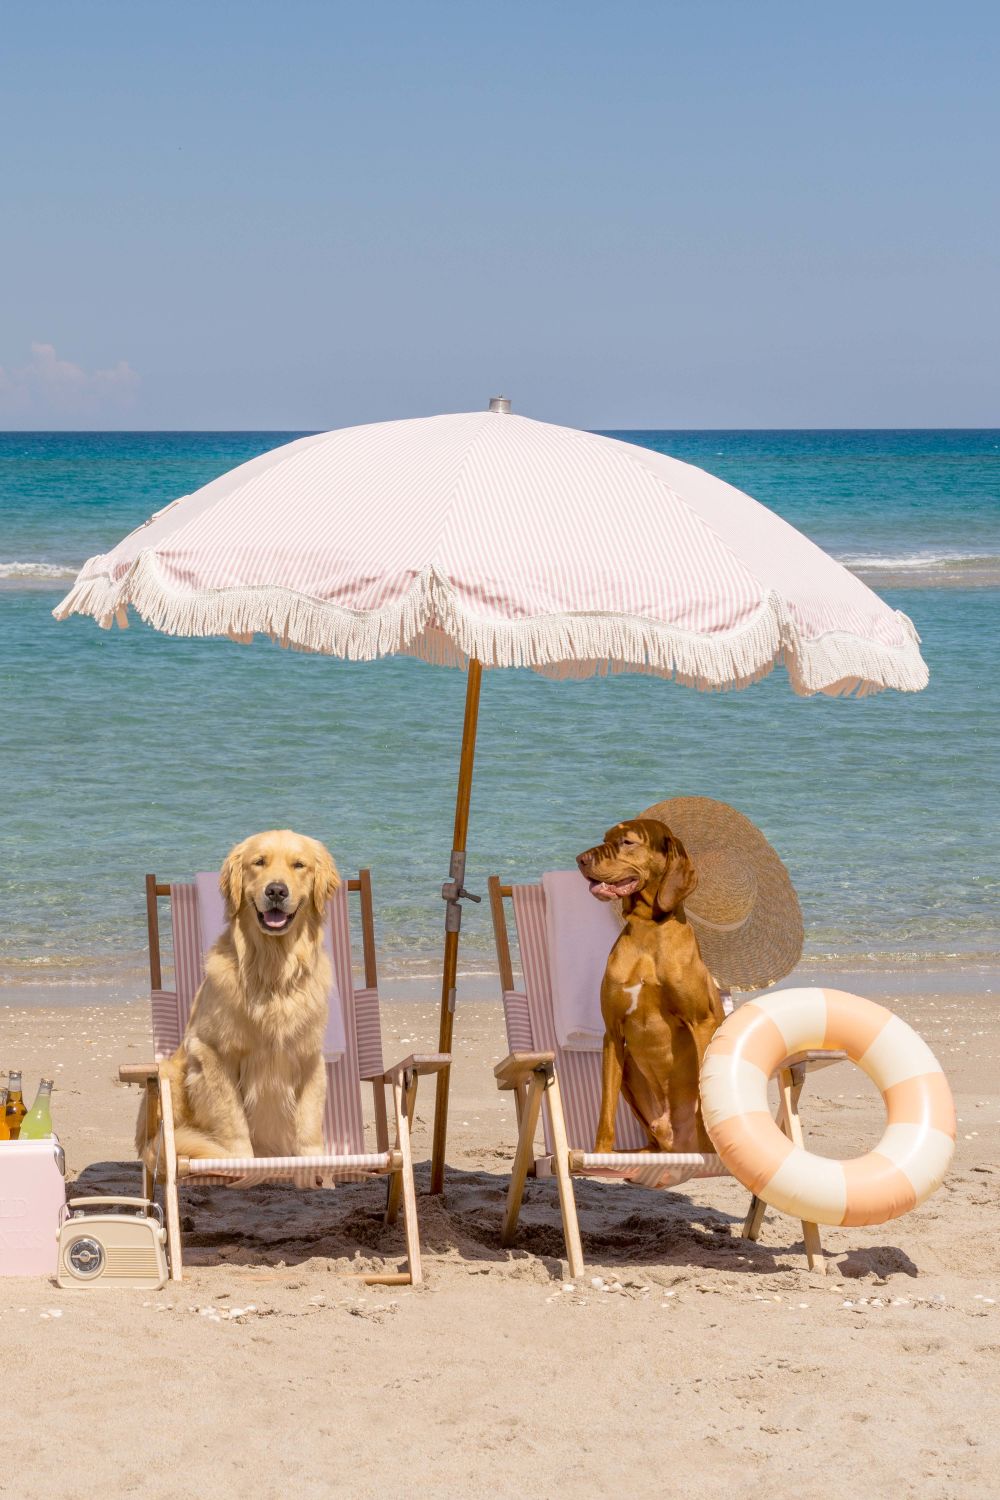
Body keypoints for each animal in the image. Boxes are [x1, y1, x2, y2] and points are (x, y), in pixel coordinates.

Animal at [575, 822, 722, 1146]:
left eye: (627, 842)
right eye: (605, 839)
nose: (580, 859)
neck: (648, 930)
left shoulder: (701, 1022)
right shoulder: (612, 1033)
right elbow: (605, 1112)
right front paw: (600, 1151)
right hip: (630, 1074)